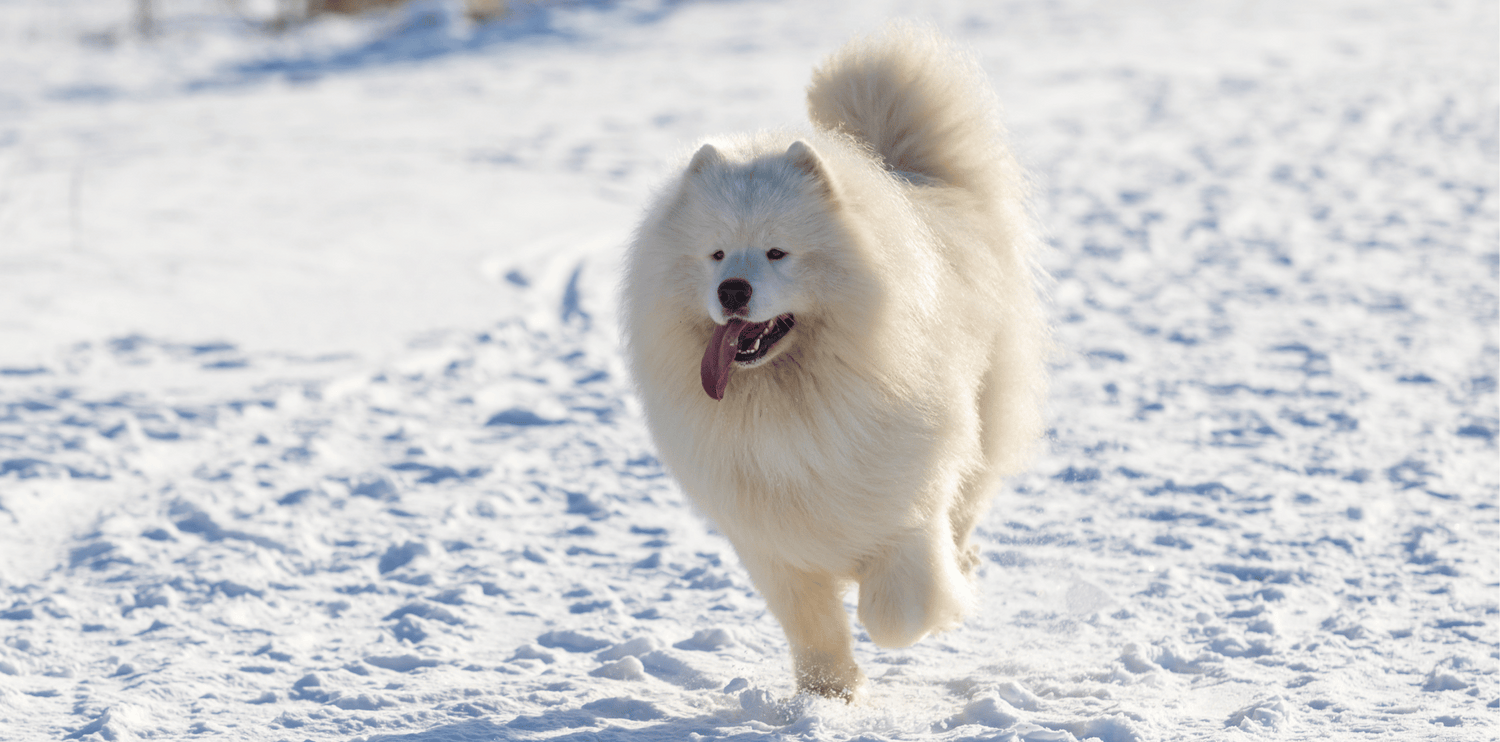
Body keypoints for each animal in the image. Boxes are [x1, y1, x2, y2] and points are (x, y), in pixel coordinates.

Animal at [615, 20, 1050, 698]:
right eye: (717, 253)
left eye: (777, 252)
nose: (731, 291)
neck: (794, 398)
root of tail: (910, 171)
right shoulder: (771, 541)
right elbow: (811, 622)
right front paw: (829, 693)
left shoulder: (904, 503)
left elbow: (897, 610)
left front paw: (929, 609)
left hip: (987, 413)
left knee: (967, 507)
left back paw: (962, 564)